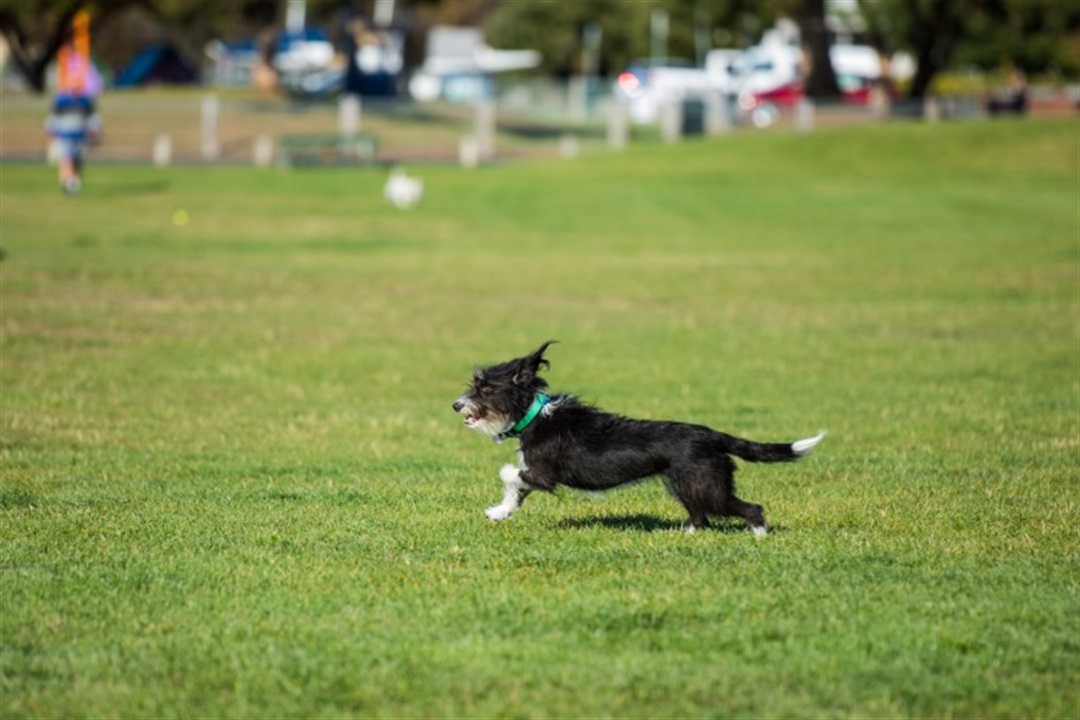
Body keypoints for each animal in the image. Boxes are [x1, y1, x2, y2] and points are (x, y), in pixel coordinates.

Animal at [451, 343, 820, 535]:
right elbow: (516, 489)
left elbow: (510, 475)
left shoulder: (543, 472)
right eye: (476, 385)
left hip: (706, 484)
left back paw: (759, 534)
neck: (535, 415)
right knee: (700, 517)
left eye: (486, 388)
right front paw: (500, 512)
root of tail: (714, 435)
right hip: (685, 483)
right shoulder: (535, 474)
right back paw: (685, 535)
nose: (456, 405)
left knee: (749, 508)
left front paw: (499, 508)